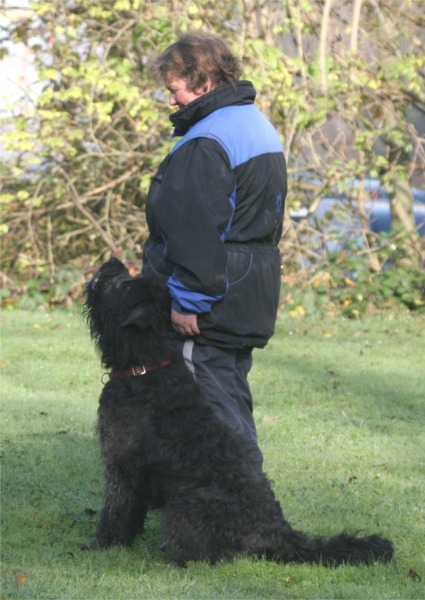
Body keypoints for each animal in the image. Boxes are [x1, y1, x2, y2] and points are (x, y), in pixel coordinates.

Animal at [83, 257, 393, 566]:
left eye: (127, 285)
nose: (114, 261)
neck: (146, 365)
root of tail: (279, 532)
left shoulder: (120, 464)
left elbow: (115, 510)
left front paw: (101, 545)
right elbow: (133, 512)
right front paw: (124, 542)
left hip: (184, 506)